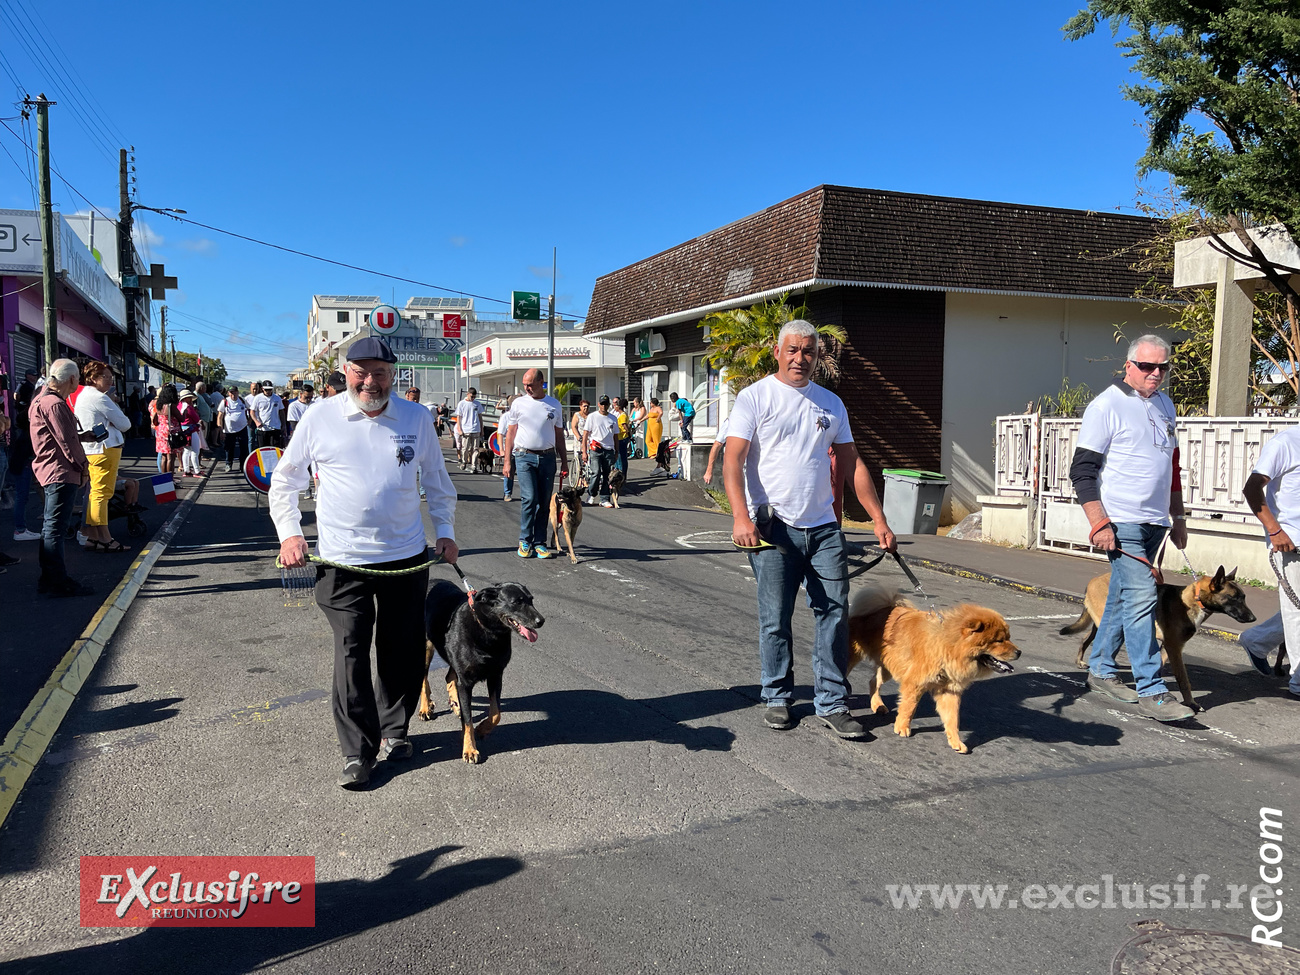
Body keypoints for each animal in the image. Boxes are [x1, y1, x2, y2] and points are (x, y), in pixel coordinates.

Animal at [421, 579, 543, 764]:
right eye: (517, 602)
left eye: (531, 600)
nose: (541, 621)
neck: (488, 630)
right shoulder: (466, 682)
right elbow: (468, 720)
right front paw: (469, 749)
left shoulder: (496, 676)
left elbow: (496, 713)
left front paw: (482, 729)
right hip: (425, 648)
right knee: (424, 678)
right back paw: (425, 708)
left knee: (449, 677)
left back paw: (455, 704)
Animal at [847, 587, 1019, 754]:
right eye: (999, 640)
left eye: (1009, 637)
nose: (1019, 652)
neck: (948, 646)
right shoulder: (915, 683)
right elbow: (909, 707)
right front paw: (902, 727)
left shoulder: (949, 691)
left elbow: (953, 719)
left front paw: (956, 742)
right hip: (854, 657)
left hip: (889, 667)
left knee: (873, 681)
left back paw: (878, 705)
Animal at [1055, 564, 1258, 712]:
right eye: (1234, 598)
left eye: (1244, 597)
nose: (1253, 619)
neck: (1195, 599)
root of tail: (1094, 579)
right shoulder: (1174, 647)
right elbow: (1183, 680)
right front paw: (1191, 704)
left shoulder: (1168, 648)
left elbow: (1157, 667)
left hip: (1103, 624)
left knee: (1085, 639)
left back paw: (1081, 662)